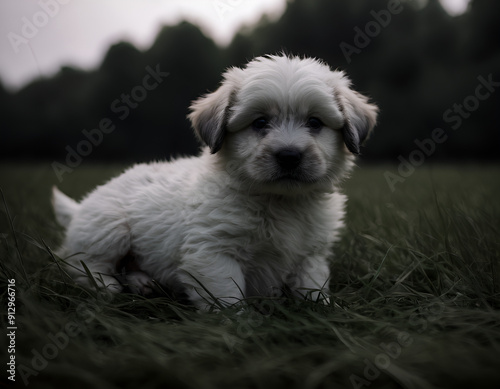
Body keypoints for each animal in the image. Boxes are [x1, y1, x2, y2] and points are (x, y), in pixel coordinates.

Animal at [52, 53, 376, 310]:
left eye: (315, 123)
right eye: (260, 123)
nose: (289, 155)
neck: (279, 200)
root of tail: (79, 209)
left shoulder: (310, 254)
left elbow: (312, 286)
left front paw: (323, 311)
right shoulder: (213, 252)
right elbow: (227, 296)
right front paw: (237, 326)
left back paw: (143, 283)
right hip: (109, 227)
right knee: (81, 264)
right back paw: (109, 287)